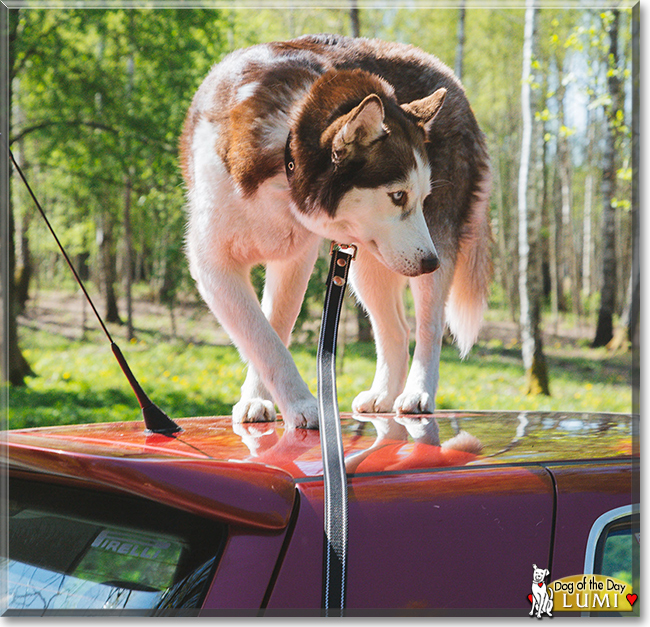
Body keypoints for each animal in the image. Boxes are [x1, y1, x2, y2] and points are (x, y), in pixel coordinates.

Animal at [180, 31, 488, 430]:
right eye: (398, 195)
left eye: (422, 198)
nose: (430, 262)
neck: (284, 155)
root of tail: (450, 76)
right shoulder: (214, 266)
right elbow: (263, 336)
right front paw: (269, 400)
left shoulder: (294, 259)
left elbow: (274, 328)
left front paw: (298, 404)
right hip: (370, 262)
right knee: (396, 330)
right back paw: (383, 396)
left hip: (425, 246)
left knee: (428, 328)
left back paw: (417, 394)